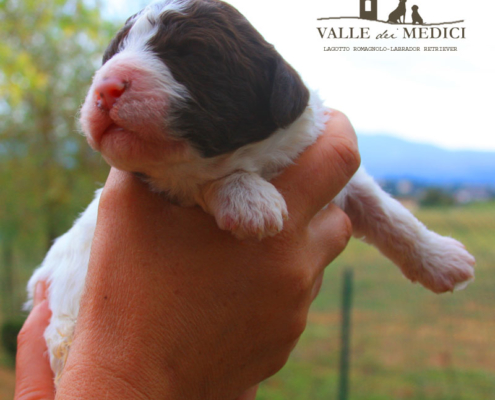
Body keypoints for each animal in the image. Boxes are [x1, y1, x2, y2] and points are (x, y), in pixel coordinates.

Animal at [27, 0, 476, 382]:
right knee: (58, 338)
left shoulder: (324, 160)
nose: (104, 88)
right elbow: (207, 179)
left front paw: (441, 258)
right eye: (108, 58)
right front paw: (249, 199)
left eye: (190, 54)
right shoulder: (173, 183)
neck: (259, 159)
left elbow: (387, 211)